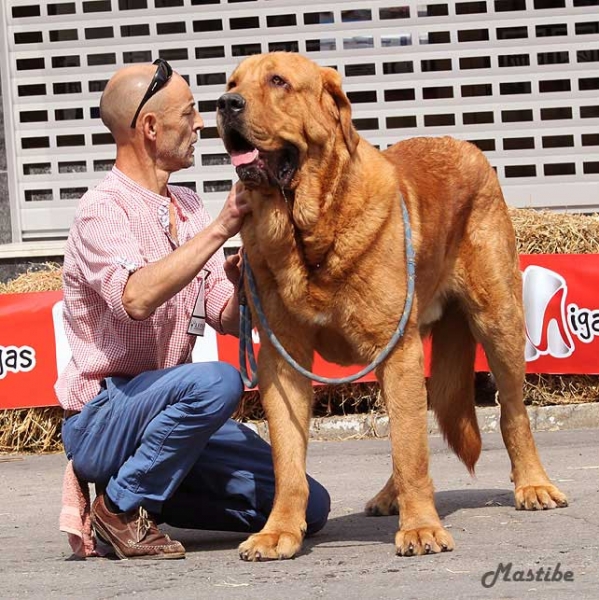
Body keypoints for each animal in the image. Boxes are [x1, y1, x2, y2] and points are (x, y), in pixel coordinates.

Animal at [214, 52, 568, 564]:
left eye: (278, 81)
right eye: (232, 82)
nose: (225, 104)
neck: (311, 230)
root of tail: (467, 146)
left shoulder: (395, 350)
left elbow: (410, 450)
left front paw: (421, 528)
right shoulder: (282, 363)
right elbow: (289, 462)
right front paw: (278, 531)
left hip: (497, 321)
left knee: (511, 412)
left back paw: (533, 485)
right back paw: (390, 496)